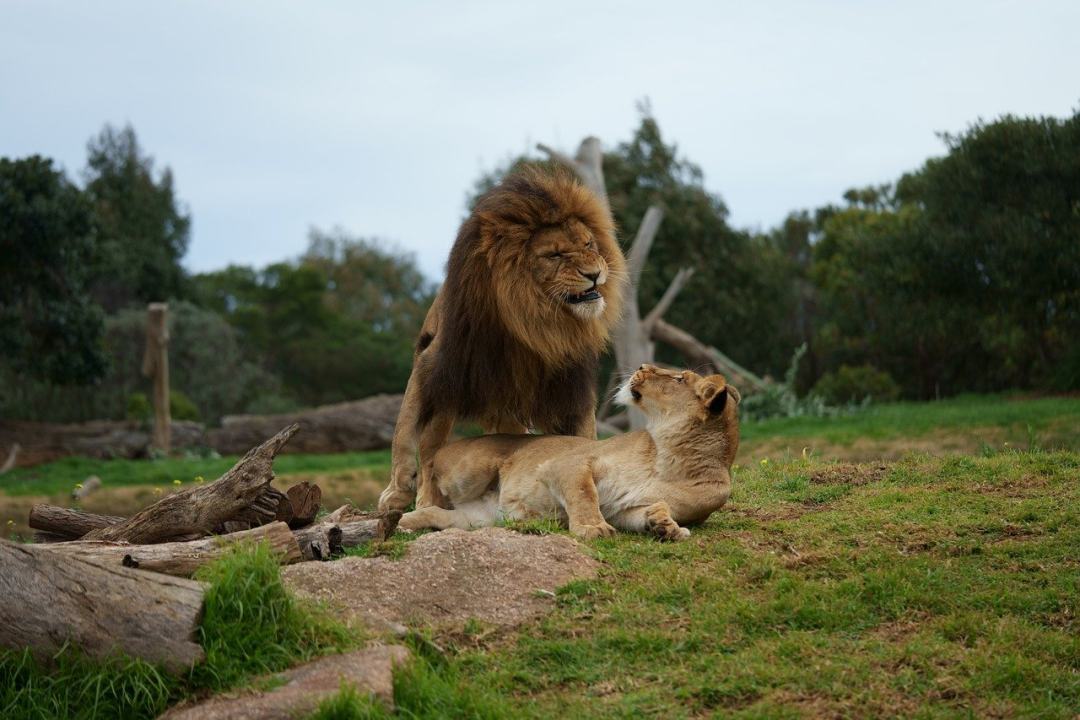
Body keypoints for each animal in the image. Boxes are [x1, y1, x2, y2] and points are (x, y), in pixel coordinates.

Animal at [380, 167, 630, 511]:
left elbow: (581, 432)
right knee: (429, 441)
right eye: (555, 255)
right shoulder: (439, 367)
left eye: (590, 244)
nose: (594, 274)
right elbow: (408, 429)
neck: (534, 323)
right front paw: (402, 491)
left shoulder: (566, 385)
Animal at [401, 367, 738, 539]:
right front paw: (592, 528)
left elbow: (641, 513)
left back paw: (406, 523)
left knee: (439, 515)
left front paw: (664, 524)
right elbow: (583, 494)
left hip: (476, 519)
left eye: (679, 378)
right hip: (470, 469)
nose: (641, 366)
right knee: (430, 462)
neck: (668, 457)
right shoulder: (566, 463)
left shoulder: (624, 510)